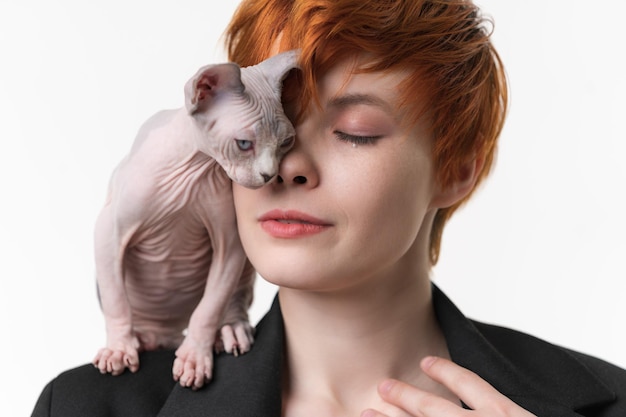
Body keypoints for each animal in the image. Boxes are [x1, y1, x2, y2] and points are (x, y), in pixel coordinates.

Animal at [91, 50, 298, 388]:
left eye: (286, 143)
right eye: (244, 144)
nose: (270, 175)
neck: (196, 166)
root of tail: (164, 336)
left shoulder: (231, 244)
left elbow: (209, 306)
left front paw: (194, 357)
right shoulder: (109, 229)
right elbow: (115, 299)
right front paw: (118, 350)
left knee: (233, 298)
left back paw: (230, 330)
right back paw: (140, 339)